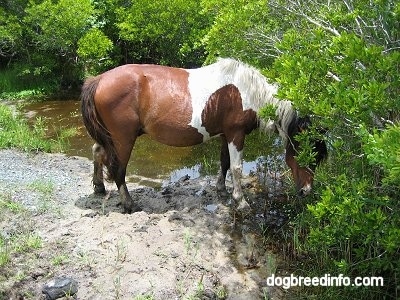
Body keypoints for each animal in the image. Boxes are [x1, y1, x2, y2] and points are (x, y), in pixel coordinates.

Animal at [80, 59, 324, 213]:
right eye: (307, 153)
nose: (306, 191)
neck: (247, 93)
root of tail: (99, 79)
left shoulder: (227, 134)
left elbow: (224, 162)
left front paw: (221, 189)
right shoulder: (236, 133)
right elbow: (236, 167)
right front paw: (241, 201)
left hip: (110, 136)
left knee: (97, 151)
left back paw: (99, 187)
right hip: (124, 138)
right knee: (118, 169)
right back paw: (129, 204)